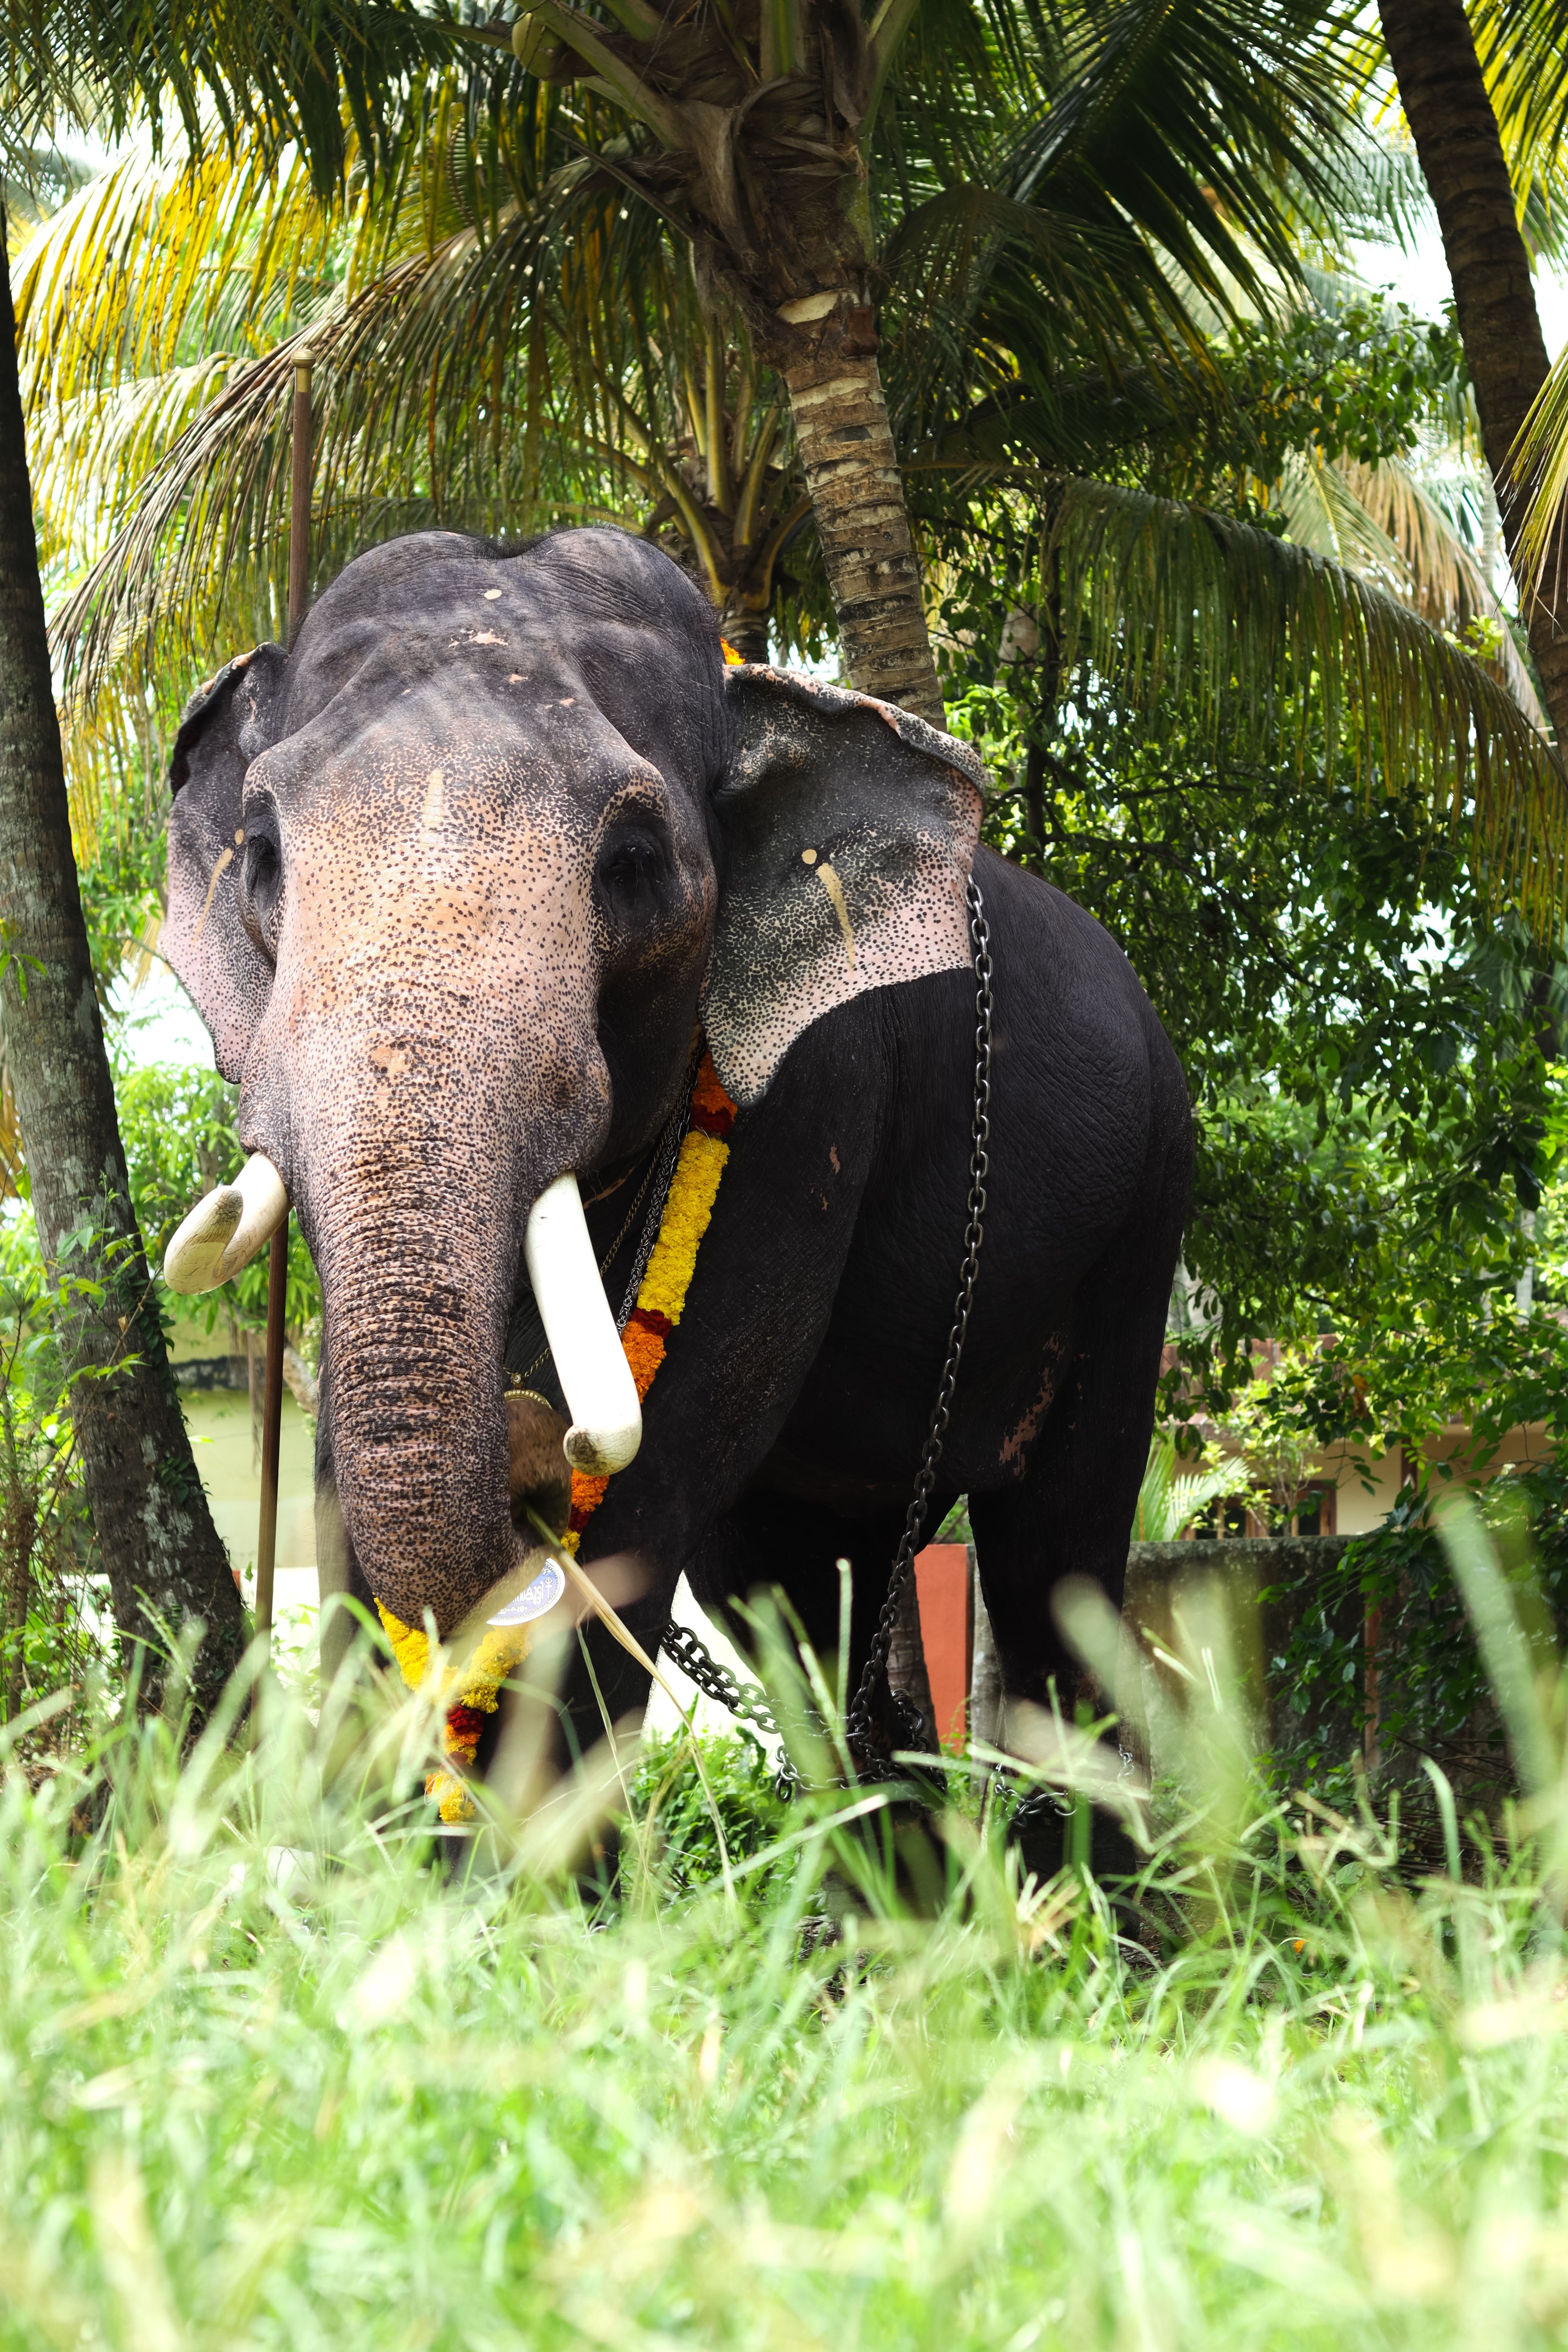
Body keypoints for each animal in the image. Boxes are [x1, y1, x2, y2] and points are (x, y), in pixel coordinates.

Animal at [159, 524, 1192, 1826]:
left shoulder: (812, 1097)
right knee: (802, 1595)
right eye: (262, 854)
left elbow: (655, 1486)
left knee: (1060, 1580)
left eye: (635, 862)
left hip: (1142, 1221)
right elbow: (350, 1482)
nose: (533, 1456)